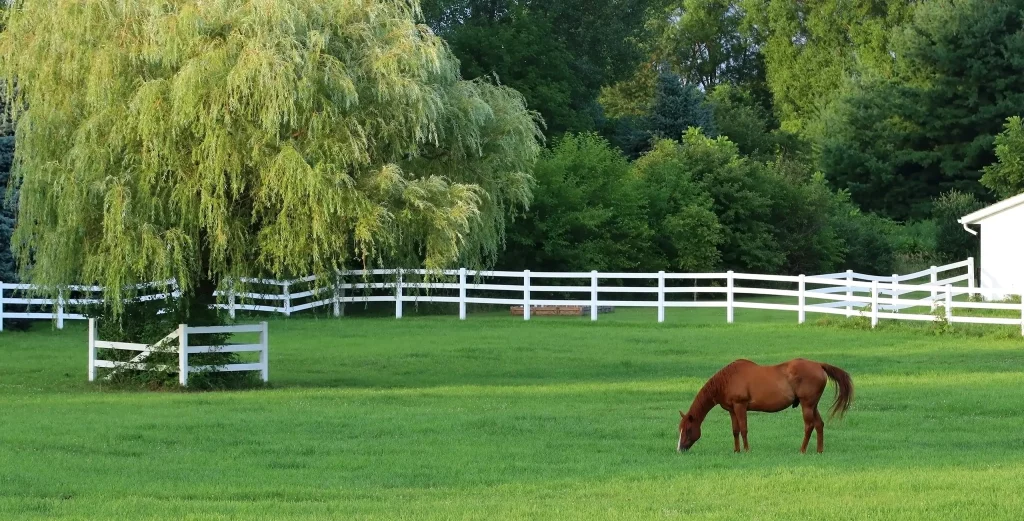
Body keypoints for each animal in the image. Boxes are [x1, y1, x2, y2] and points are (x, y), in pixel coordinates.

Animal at [677, 358, 853, 454]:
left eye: (688, 429)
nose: (679, 449)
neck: (727, 380)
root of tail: (819, 365)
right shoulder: (732, 410)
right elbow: (735, 431)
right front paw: (736, 450)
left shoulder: (740, 406)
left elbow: (744, 429)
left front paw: (746, 450)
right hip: (813, 405)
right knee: (819, 425)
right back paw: (819, 450)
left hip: (807, 405)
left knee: (809, 426)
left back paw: (802, 450)